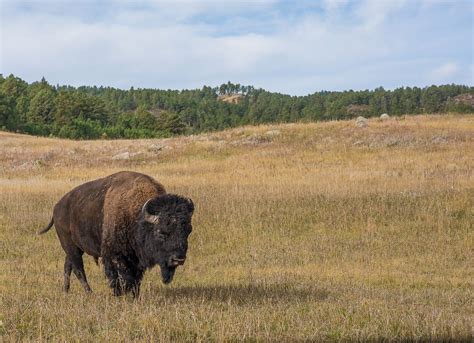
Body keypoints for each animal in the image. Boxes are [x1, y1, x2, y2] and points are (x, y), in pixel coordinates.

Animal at [38, 172, 194, 298]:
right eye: (160, 232)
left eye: (188, 231)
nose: (178, 259)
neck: (135, 216)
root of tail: (57, 207)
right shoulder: (114, 256)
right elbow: (120, 277)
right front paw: (119, 295)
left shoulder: (136, 259)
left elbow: (136, 278)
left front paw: (135, 296)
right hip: (71, 247)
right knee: (78, 269)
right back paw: (89, 293)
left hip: (75, 248)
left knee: (68, 266)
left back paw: (66, 291)